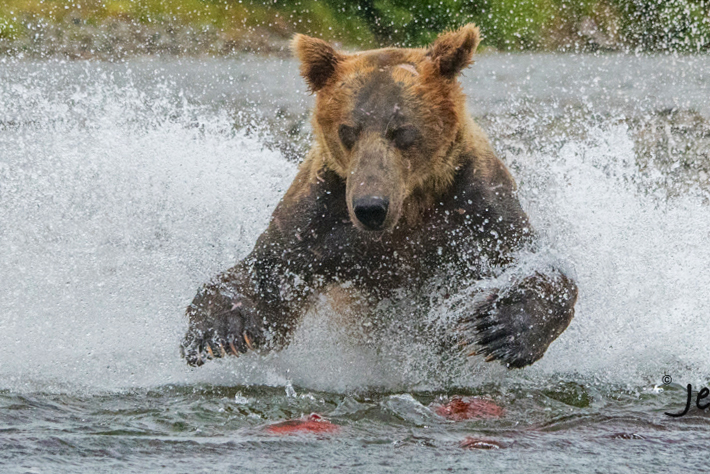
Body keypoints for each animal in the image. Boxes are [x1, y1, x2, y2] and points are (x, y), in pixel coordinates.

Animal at [179, 24, 580, 368]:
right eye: (348, 129)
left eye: (402, 130)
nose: (370, 207)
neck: (409, 207)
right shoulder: (320, 214)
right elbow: (268, 275)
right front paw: (215, 332)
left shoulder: (473, 205)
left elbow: (534, 262)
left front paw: (502, 329)